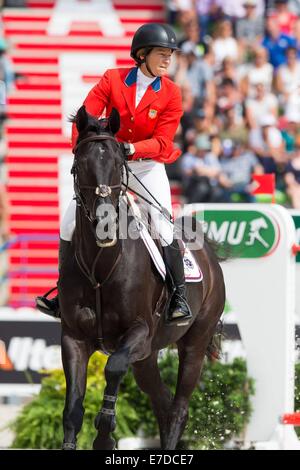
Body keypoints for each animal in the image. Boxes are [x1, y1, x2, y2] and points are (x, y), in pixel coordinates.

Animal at [60, 106, 225, 452]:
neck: (101, 264)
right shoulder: (73, 338)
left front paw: (105, 436)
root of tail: (209, 253)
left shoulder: (139, 333)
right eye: (80, 166)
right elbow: (72, 410)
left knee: (178, 409)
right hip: (147, 359)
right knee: (163, 404)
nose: (105, 225)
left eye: (118, 164)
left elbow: (112, 368)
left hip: (193, 344)